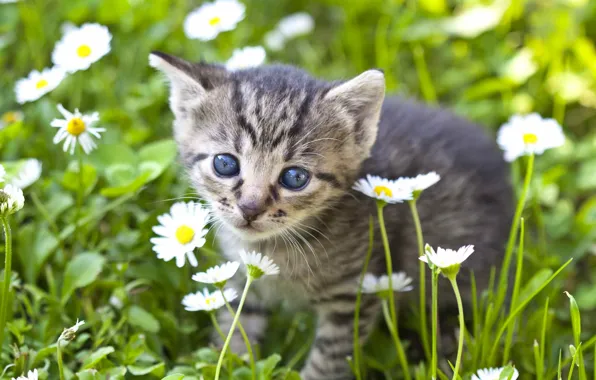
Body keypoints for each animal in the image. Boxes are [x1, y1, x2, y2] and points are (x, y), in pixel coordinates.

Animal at [149, 52, 512, 380]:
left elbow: (330, 357)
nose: (250, 208)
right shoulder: (242, 278)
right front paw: (225, 361)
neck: (278, 248)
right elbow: (234, 330)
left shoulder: (355, 293)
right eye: (225, 164)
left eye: (295, 177)